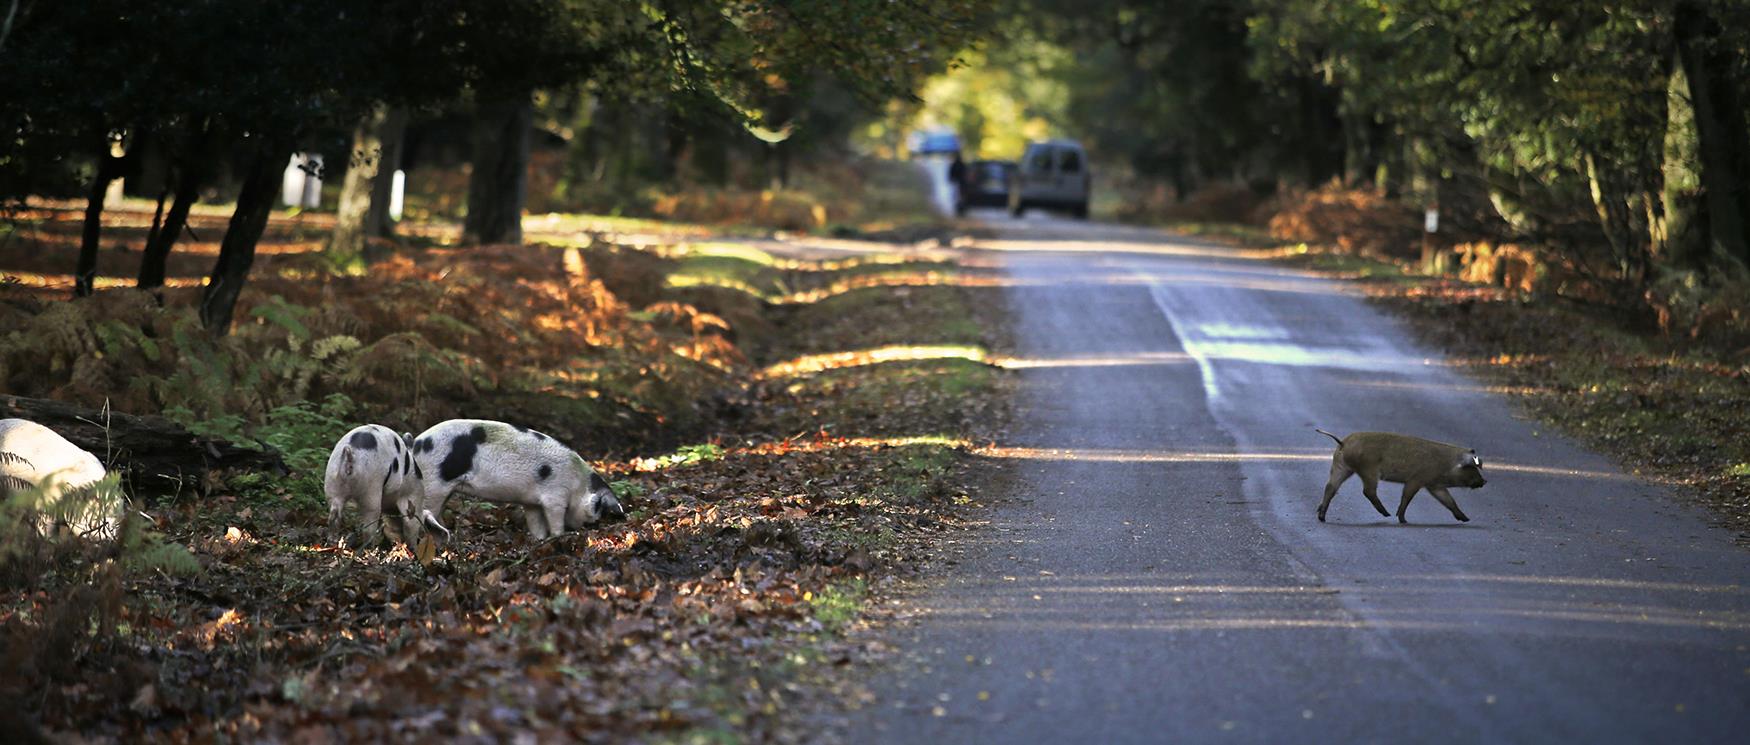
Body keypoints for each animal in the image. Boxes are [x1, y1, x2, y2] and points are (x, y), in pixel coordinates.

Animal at [406, 419, 626, 542]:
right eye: (597, 511)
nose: (588, 528)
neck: (578, 485)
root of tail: (415, 443)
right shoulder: (555, 495)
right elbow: (555, 517)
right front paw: (558, 536)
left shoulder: (531, 502)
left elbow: (535, 523)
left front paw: (539, 540)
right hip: (433, 482)